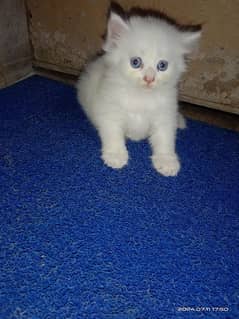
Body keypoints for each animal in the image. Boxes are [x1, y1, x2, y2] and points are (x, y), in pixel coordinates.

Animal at [77, 8, 201, 178]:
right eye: (135, 62)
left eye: (162, 65)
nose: (149, 79)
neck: (141, 96)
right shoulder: (110, 110)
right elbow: (113, 133)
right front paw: (116, 155)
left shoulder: (165, 115)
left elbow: (165, 138)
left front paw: (167, 161)